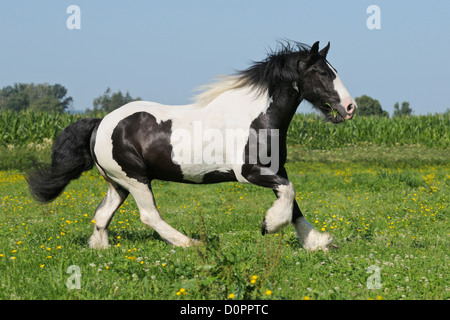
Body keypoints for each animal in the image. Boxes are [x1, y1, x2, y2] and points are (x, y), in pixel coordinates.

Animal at [27, 41, 358, 252]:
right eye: (323, 73)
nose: (350, 108)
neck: (258, 117)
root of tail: (100, 123)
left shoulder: (277, 169)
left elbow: (294, 204)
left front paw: (317, 243)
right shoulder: (250, 173)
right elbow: (289, 196)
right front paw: (269, 225)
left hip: (118, 183)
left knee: (102, 215)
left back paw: (101, 250)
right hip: (136, 179)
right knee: (149, 216)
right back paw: (192, 243)